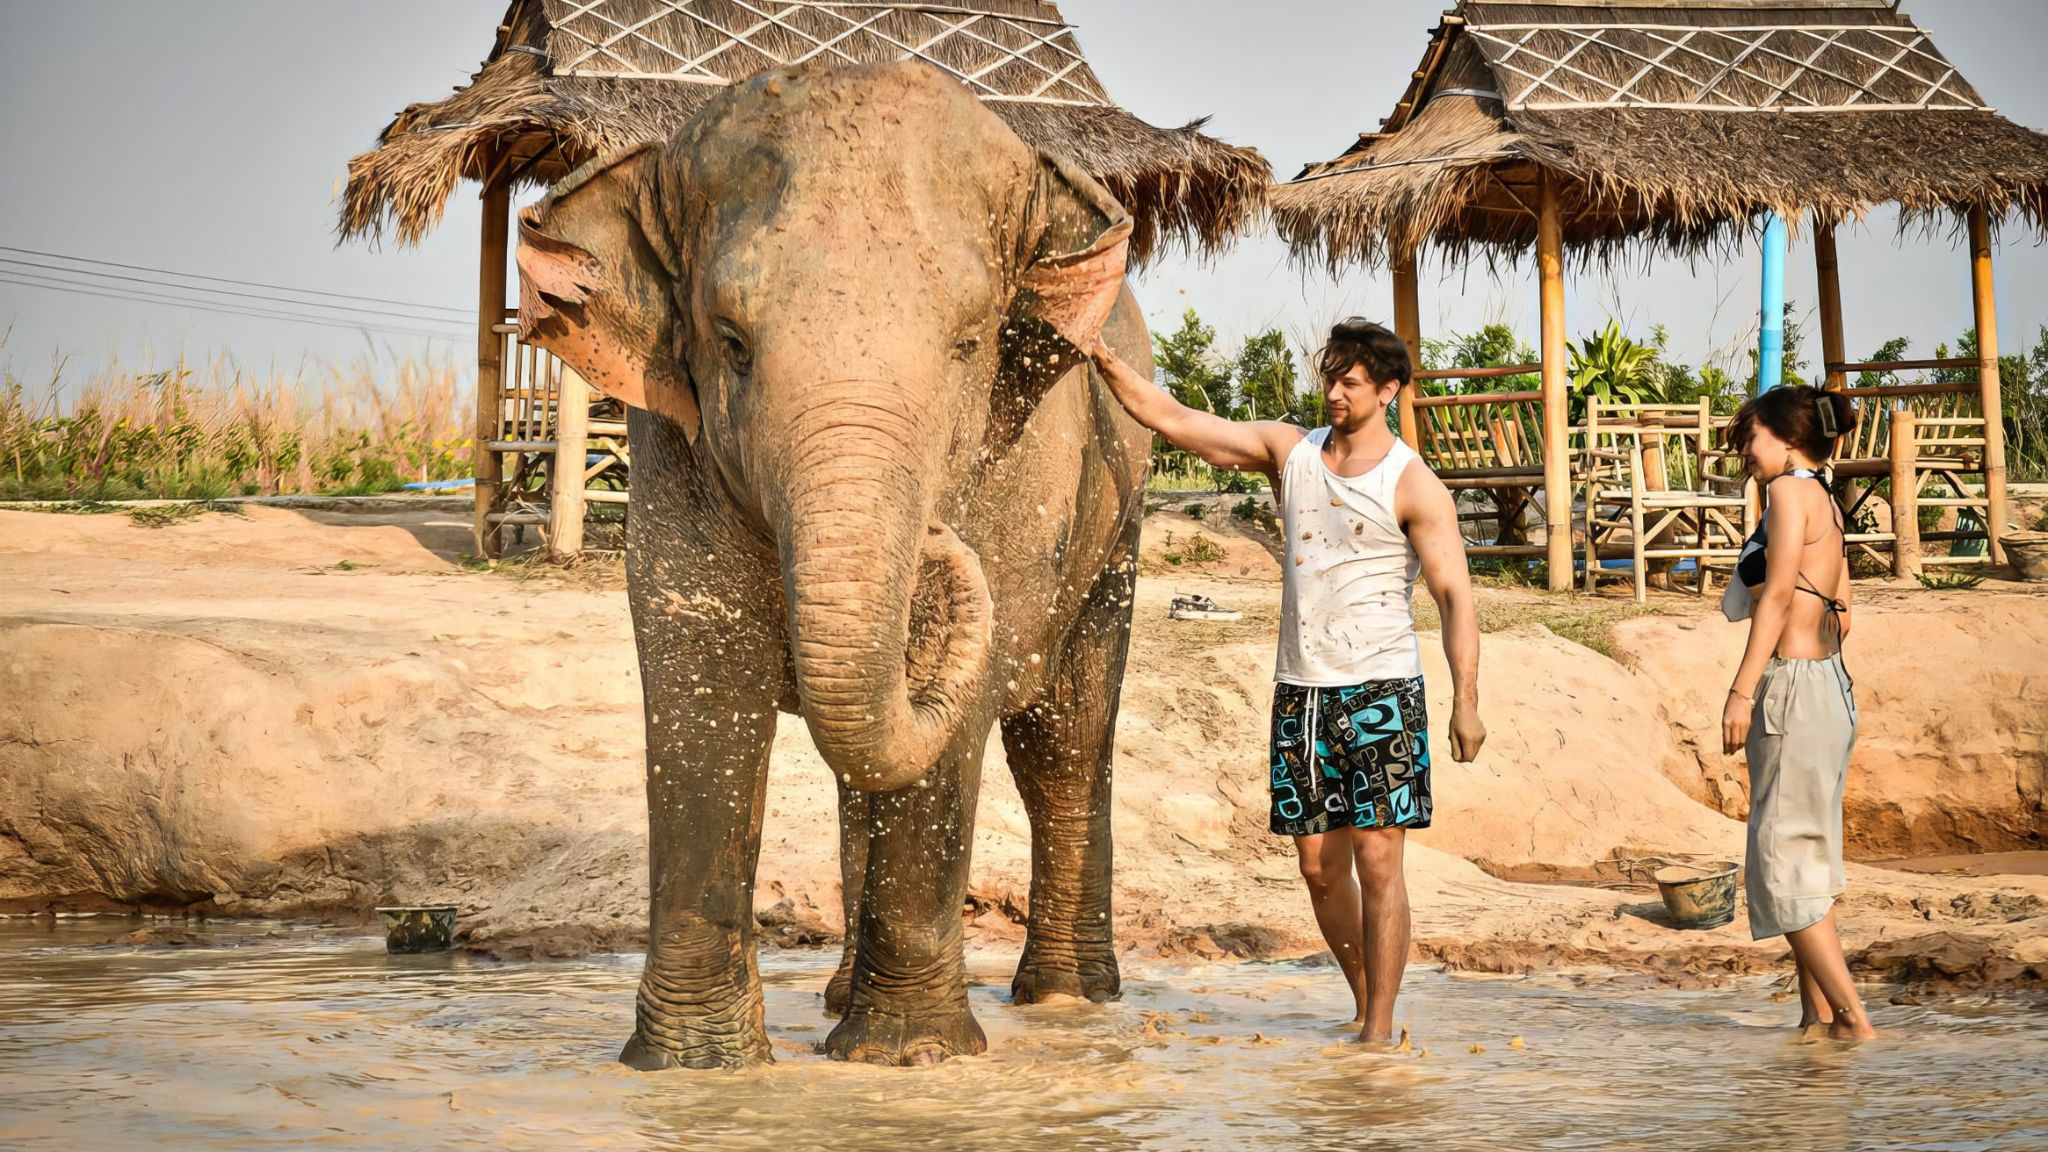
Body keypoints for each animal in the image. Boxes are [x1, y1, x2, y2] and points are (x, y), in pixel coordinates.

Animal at [514, 60, 1153, 1068]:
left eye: (969, 343)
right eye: (730, 341)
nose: (936, 540)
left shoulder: (1021, 461)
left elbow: (951, 727)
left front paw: (911, 1057)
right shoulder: (672, 449)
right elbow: (703, 693)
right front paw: (692, 1069)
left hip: (1115, 527)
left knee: (1064, 743)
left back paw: (1065, 1000)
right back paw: (844, 997)